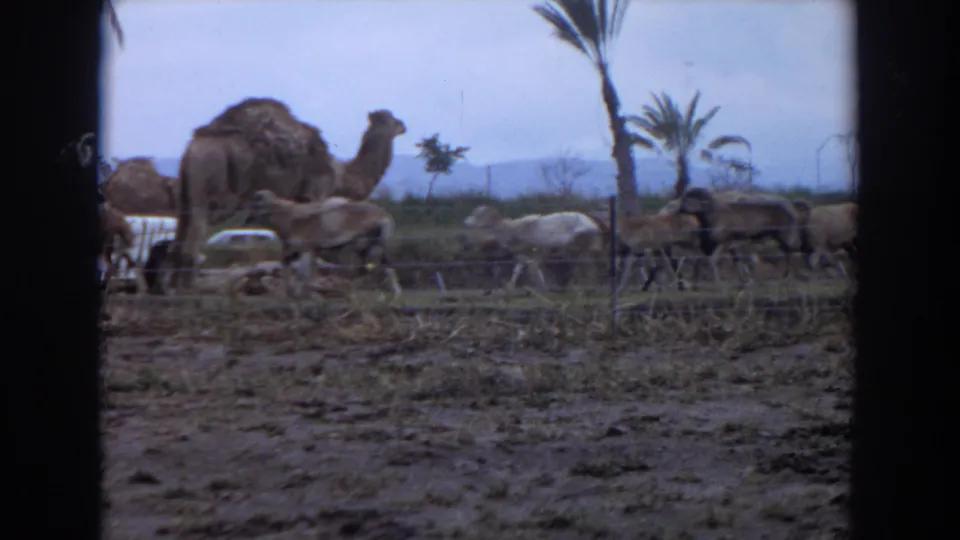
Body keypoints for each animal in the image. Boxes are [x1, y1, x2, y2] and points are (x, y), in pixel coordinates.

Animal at [245, 189, 401, 298]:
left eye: (256, 206)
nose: (248, 219)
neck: (289, 219)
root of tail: (384, 216)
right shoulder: (299, 252)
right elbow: (299, 272)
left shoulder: (306, 250)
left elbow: (302, 274)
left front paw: (297, 295)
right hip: (368, 248)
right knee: (383, 268)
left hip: (372, 247)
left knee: (376, 269)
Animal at [461, 205, 603, 291]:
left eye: (478, 215)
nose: (465, 222)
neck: (513, 229)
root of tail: (592, 224)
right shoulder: (525, 254)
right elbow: (519, 270)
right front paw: (510, 286)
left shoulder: (533, 251)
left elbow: (533, 269)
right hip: (581, 249)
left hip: (576, 247)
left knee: (583, 265)